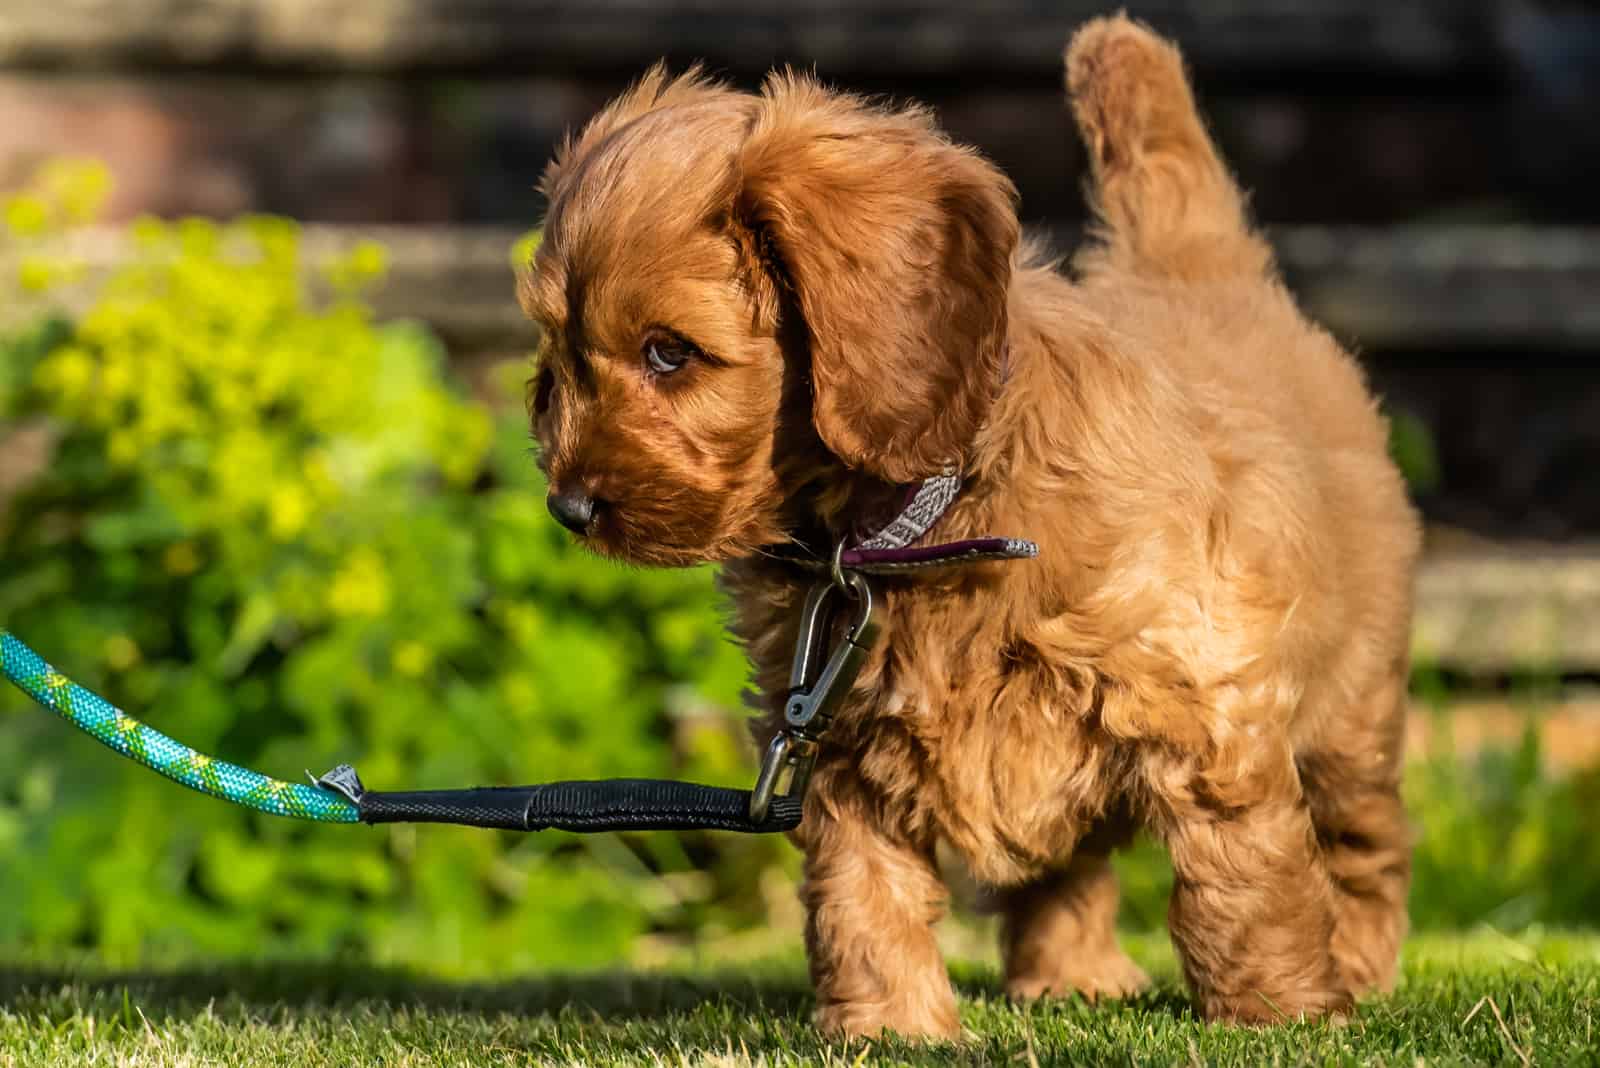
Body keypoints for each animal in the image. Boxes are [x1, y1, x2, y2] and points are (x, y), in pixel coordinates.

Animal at [524, 12, 1427, 1036]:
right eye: (556, 359)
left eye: (669, 354)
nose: (568, 506)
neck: (903, 531)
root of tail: (1196, 269)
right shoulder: (836, 743)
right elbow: (860, 893)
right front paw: (890, 1027)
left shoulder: (1204, 704)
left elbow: (1243, 881)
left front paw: (1280, 1012)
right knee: (1068, 869)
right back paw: (1070, 977)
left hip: (1354, 705)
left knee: (1363, 843)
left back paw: (1357, 966)